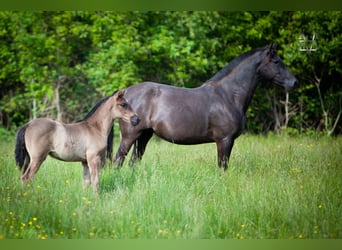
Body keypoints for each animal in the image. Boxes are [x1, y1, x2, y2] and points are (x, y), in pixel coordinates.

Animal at [114, 45, 296, 170]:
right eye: (276, 61)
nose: (294, 82)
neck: (228, 96)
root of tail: (126, 93)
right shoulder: (225, 140)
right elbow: (222, 167)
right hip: (130, 135)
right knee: (118, 159)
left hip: (144, 135)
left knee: (133, 161)